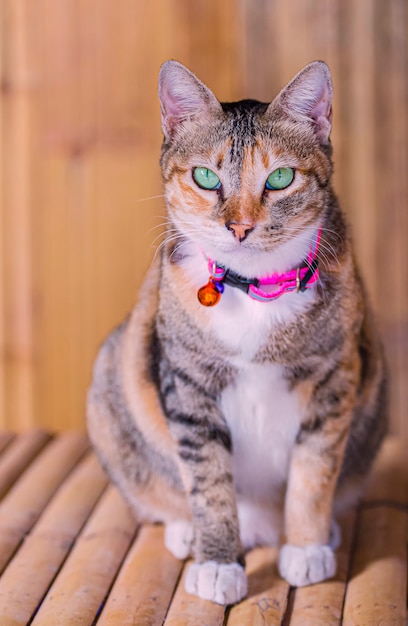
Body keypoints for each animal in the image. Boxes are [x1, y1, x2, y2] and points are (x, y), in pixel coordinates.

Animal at [87, 59, 388, 604]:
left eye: (281, 177)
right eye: (206, 177)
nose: (241, 227)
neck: (255, 292)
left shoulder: (337, 375)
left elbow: (314, 470)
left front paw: (306, 548)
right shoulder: (187, 381)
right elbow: (208, 478)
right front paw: (218, 562)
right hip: (110, 382)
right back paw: (188, 530)